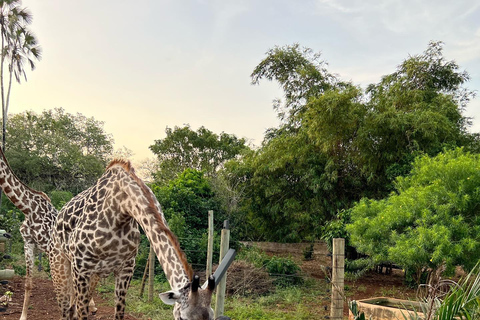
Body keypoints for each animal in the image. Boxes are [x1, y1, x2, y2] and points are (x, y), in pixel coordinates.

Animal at [48, 159, 227, 320]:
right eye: (183, 318)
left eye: (211, 317)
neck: (119, 207)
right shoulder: (81, 269)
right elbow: (81, 313)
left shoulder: (126, 268)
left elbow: (119, 311)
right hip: (61, 266)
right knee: (65, 309)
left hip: (94, 275)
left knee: (72, 309)